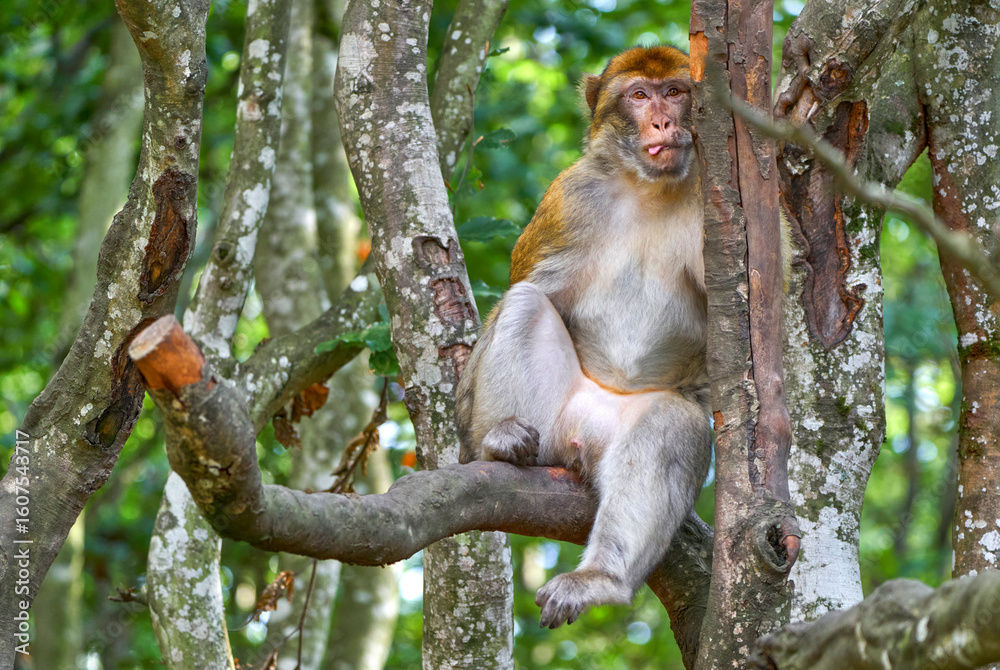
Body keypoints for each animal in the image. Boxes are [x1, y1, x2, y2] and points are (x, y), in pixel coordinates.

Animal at [455, 45, 714, 629]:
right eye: (639, 95)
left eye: (675, 92)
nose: (664, 122)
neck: (651, 188)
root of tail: (584, 439)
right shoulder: (570, 197)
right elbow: (529, 286)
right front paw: (467, 432)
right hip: (553, 422)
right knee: (528, 305)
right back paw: (499, 443)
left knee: (674, 424)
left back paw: (600, 580)